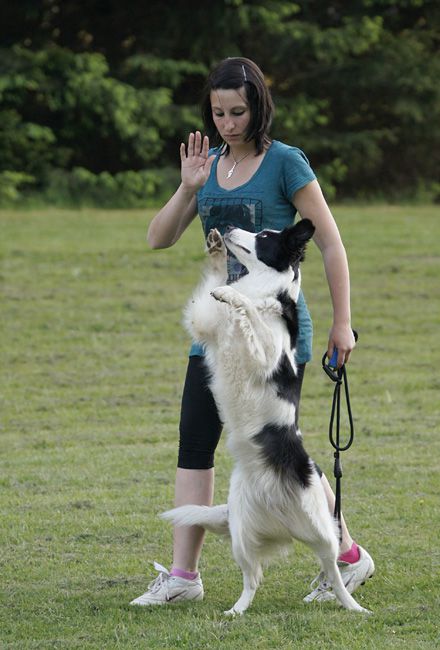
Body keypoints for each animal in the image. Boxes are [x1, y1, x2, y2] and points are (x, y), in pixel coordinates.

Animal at [160, 219, 370, 612]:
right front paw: (216, 254)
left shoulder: (267, 356)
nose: (227, 227)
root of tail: (281, 516)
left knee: (334, 571)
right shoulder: (206, 324)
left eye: (265, 237)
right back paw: (236, 611)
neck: (262, 287)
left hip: (322, 530)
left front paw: (234, 297)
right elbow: (215, 292)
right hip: (242, 534)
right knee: (252, 579)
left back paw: (352, 605)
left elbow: (251, 312)